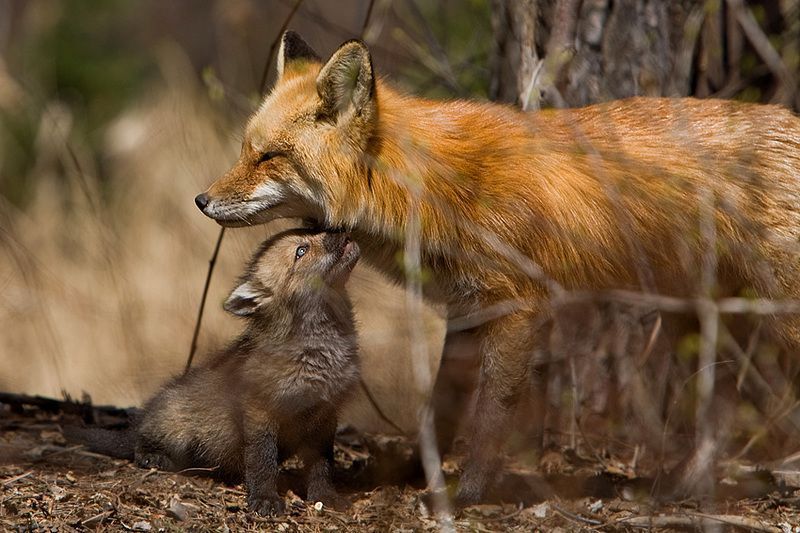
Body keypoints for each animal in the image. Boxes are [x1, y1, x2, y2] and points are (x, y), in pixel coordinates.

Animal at [197, 31, 800, 504]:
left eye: (269, 158)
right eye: (245, 150)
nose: (202, 200)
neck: (429, 187)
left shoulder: (516, 307)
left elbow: (491, 415)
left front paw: (468, 495)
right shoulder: (467, 309)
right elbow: (441, 409)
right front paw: (417, 476)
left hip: (773, 317)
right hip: (693, 319)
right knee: (724, 407)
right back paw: (684, 489)